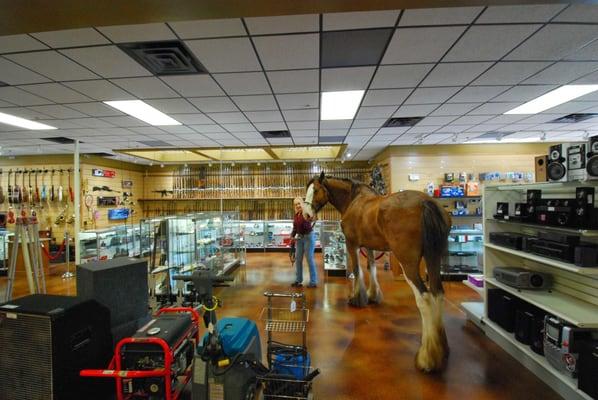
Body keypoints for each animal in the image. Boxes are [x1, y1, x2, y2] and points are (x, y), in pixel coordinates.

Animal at [302, 172, 452, 372]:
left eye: (316, 190)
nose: (306, 214)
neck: (353, 199)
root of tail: (425, 203)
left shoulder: (352, 244)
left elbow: (357, 270)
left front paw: (357, 299)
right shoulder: (369, 246)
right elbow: (371, 268)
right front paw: (373, 296)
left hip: (408, 263)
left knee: (425, 298)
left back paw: (427, 357)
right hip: (433, 258)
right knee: (437, 293)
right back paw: (441, 349)